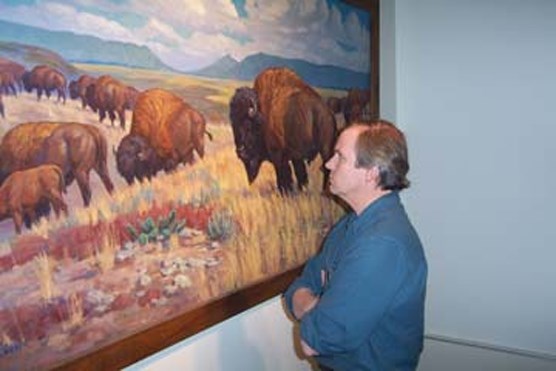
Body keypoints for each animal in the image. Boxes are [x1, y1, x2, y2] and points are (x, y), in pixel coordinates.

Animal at [229, 67, 336, 195]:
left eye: (248, 126)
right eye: (233, 124)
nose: (240, 151)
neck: (261, 111)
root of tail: (326, 112)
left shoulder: (278, 155)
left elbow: (283, 176)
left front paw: (285, 193)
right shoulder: (296, 156)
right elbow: (300, 174)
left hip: (325, 150)